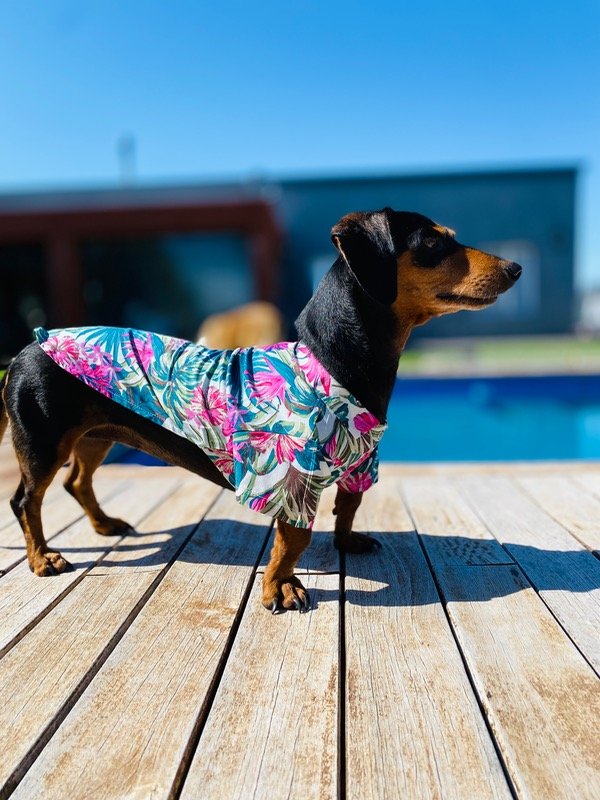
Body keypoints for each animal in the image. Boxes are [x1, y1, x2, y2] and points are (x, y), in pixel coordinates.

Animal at [0, 208, 521, 613]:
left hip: (96, 436)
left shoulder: (359, 463)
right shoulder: (292, 479)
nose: (516, 267)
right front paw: (281, 586)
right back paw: (42, 558)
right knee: (27, 500)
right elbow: (293, 540)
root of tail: (29, 346)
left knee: (76, 482)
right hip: (44, 442)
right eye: (432, 242)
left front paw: (346, 542)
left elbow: (349, 508)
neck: (328, 361)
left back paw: (105, 524)